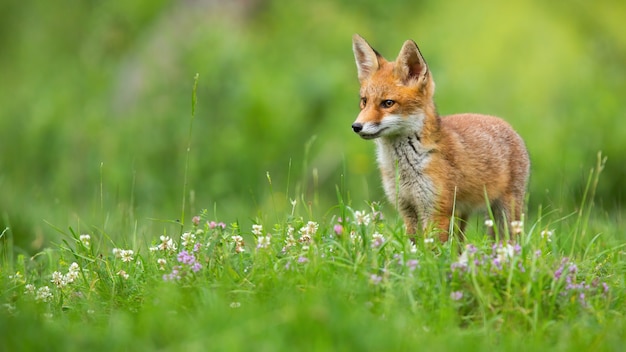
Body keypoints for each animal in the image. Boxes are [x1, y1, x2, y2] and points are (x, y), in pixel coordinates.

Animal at [352, 33, 528, 242]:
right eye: (364, 102)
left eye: (388, 103)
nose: (356, 126)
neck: (406, 168)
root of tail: (506, 124)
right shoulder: (407, 209)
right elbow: (413, 246)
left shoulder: (436, 211)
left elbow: (432, 247)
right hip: (462, 215)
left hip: (505, 213)